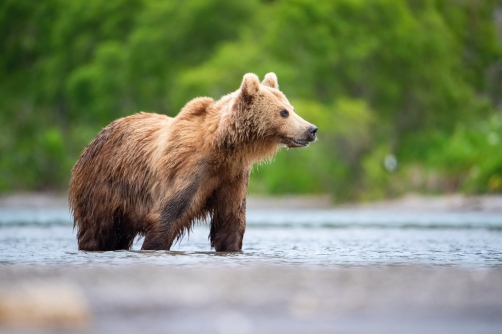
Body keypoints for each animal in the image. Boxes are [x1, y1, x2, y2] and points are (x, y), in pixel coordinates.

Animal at [69, 72, 318, 250]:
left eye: (291, 108)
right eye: (283, 112)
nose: (312, 129)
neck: (221, 147)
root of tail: (95, 139)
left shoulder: (233, 175)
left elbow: (231, 221)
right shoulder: (188, 169)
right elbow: (167, 217)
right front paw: (153, 246)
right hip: (103, 187)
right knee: (98, 229)